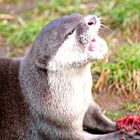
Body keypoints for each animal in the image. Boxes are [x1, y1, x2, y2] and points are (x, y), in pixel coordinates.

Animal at [0, 13, 138, 139]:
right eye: (70, 32)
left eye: (79, 15)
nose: (91, 20)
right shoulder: (52, 122)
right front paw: (125, 134)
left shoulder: (86, 104)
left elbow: (98, 118)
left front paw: (128, 124)